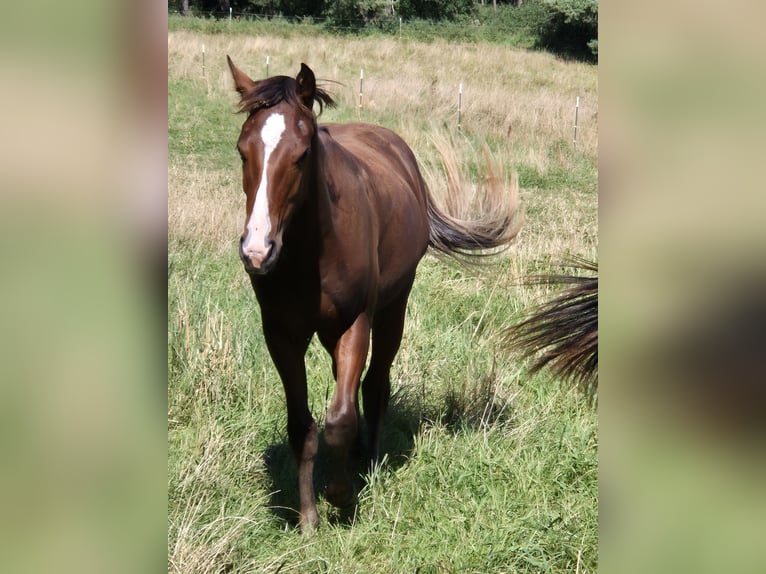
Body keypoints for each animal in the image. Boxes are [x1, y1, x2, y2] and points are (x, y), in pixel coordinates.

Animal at [226, 60, 520, 532]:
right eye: (242, 150)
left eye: (301, 154)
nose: (257, 251)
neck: (312, 251)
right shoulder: (281, 334)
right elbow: (301, 426)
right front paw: (309, 518)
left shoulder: (355, 323)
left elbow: (340, 419)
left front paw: (342, 496)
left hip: (392, 309)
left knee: (376, 382)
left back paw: (370, 457)